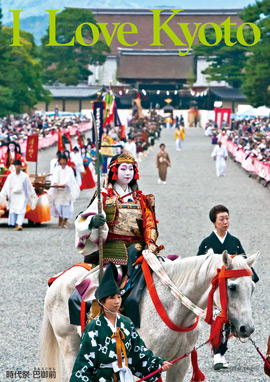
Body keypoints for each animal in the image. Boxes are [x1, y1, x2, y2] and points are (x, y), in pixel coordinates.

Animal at [39, 251, 258, 382]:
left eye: (252, 288)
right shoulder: (142, 361)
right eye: (232, 287)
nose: (247, 328)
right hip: (68, 341)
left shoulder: (180, 362)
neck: (176, 311)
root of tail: (58, 279)